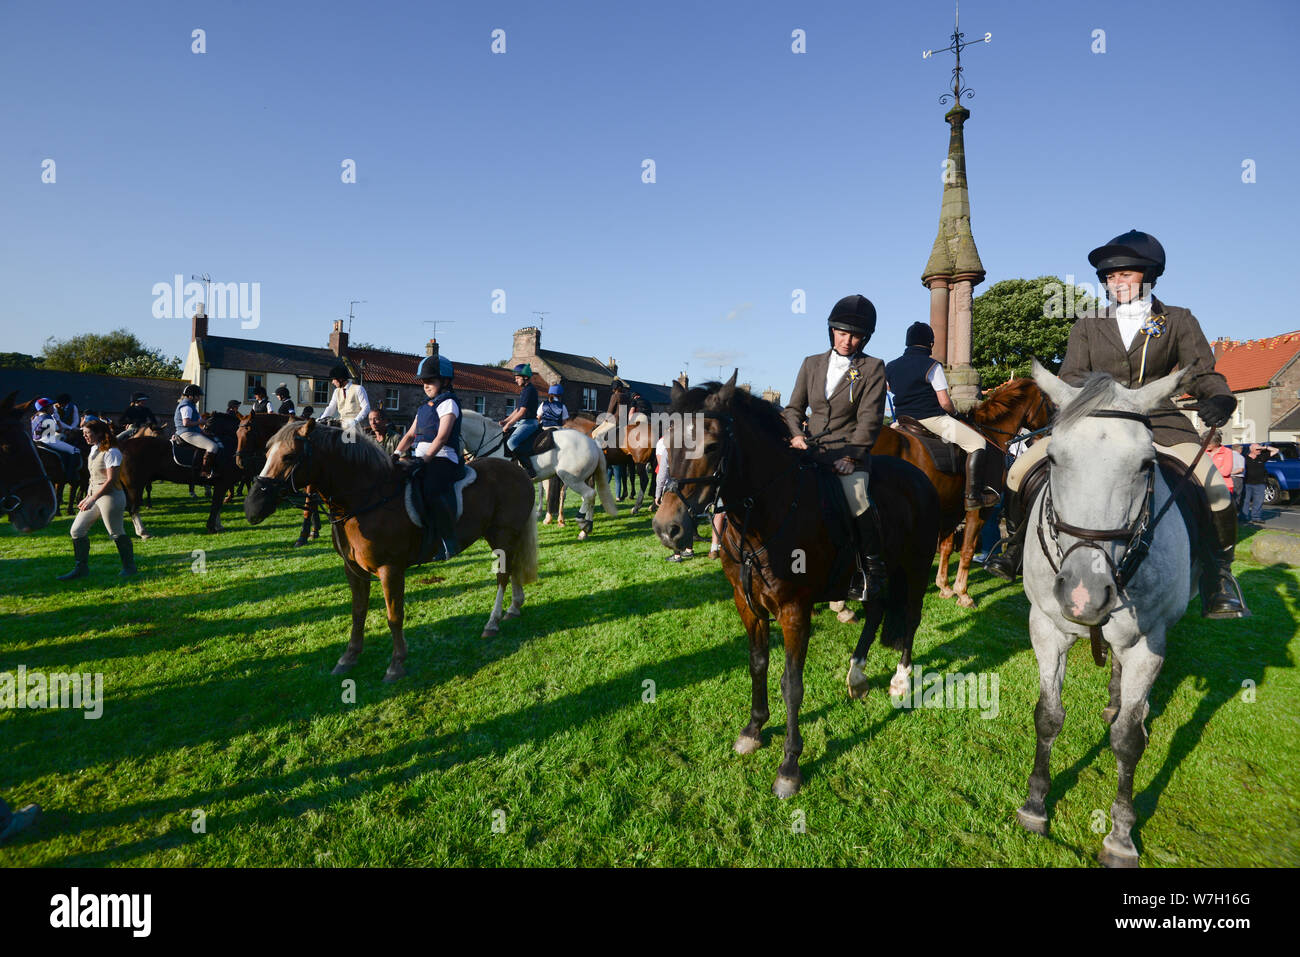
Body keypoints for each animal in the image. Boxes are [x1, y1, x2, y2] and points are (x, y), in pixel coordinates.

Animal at [244, 418, 538, 681]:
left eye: (289, 456)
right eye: (267, 453)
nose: (252, 507)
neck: (366, 497)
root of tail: (518, 471)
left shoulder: (391, 569)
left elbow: (394, 615)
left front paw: (396, 665)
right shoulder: (353, 569)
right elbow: (358, 611)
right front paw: (349, 657)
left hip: (502, 534)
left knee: (502, 576)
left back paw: (493, 622)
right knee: (512, 568)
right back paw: (513, 608)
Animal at [655, 374, 941, 800]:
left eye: (712, 445)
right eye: (668, 439)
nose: (668, 529)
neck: (764, 512)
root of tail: (920, 477)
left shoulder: (794, 610)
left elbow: (792, 684)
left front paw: (789, 765)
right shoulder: (747, 604)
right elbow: (757, 664)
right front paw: (754, 729)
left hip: (917, 566)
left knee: (910, 617)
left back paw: (901, 680)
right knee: (875, 612)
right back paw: (857, 677)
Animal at [868, 379, 1050, 608]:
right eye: (1049, 401)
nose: (1046, 435)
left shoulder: (950, 510)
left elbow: (946, 547)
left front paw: (944, 588)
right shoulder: (979, 509)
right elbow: (967, 549)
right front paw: (963, 594)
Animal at [1013, 361, 1196, 868]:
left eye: (1146, 464)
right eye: (1053, 459)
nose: (1084, 595)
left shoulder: (1149, 642)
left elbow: (1128, 741)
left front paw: (1120, 835)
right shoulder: (1045, 629)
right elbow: (1048, 716)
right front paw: (1035, 804)